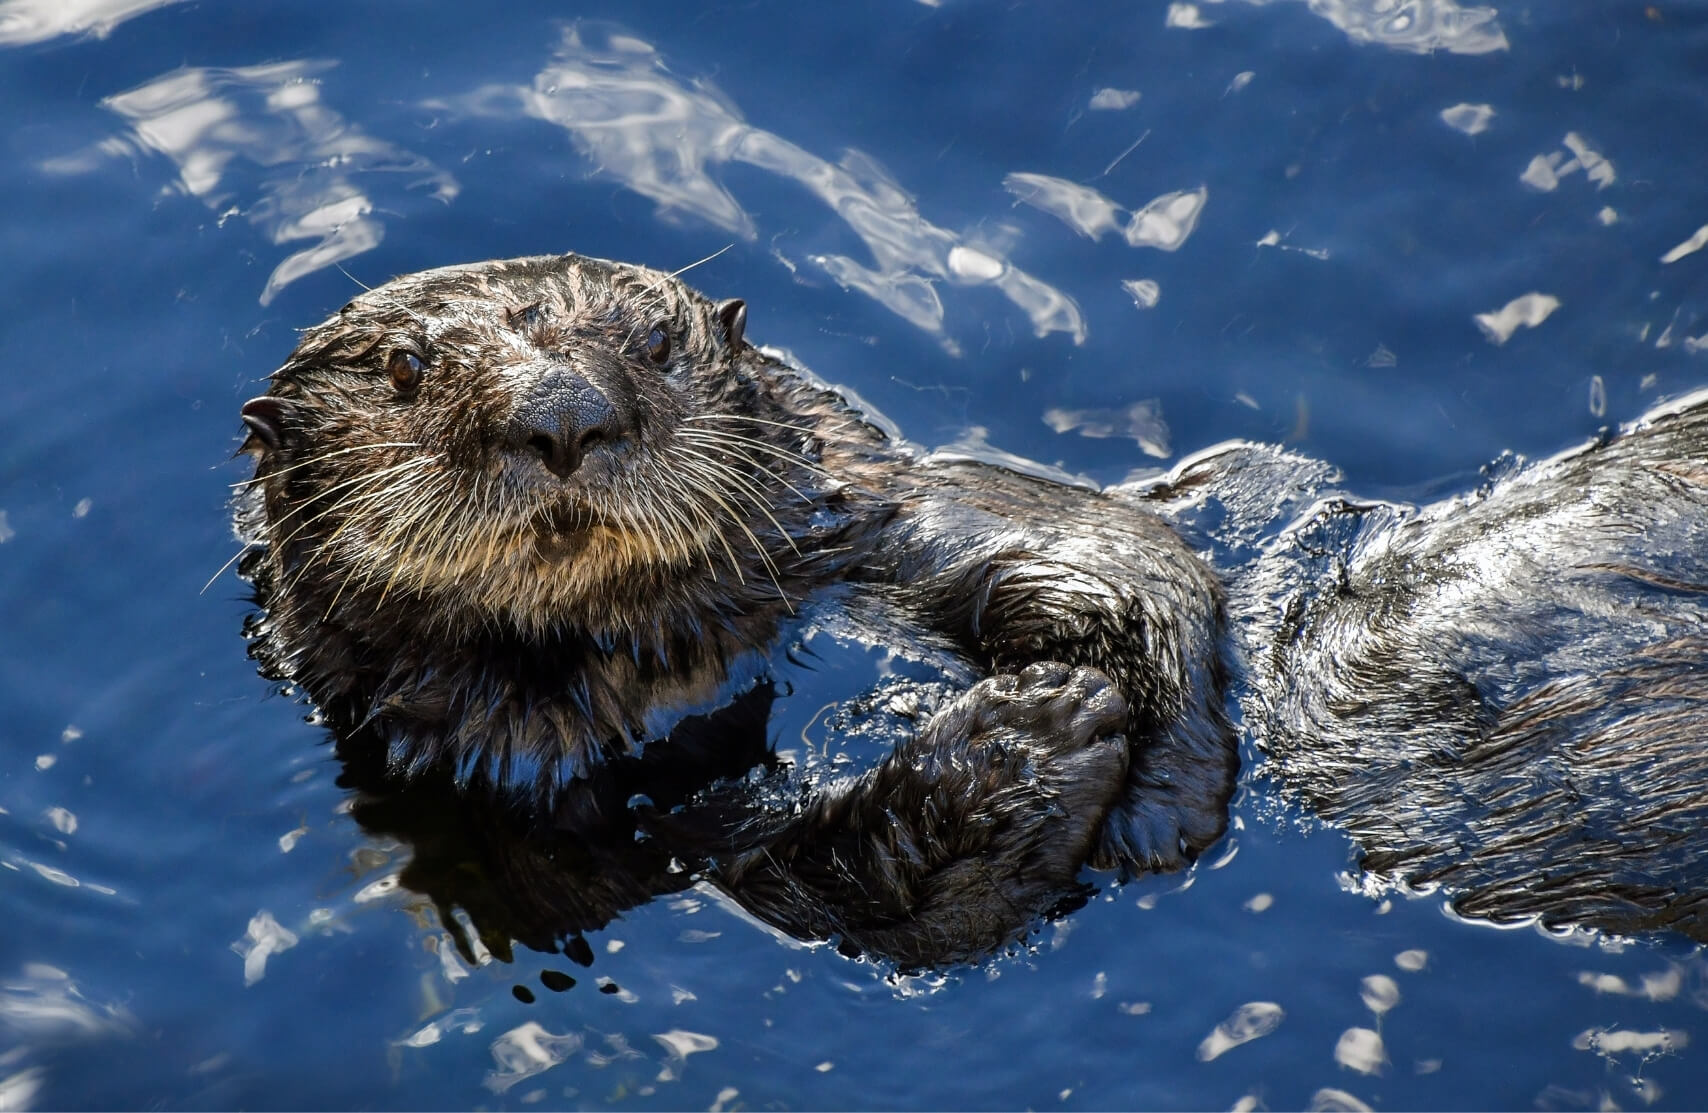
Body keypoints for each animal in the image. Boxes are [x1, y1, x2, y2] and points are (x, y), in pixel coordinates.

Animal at [236, 252, 1708, 961]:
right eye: (405, 368)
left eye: (654, 344)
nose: (563, 414)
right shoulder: (513, 813)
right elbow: (844, 900)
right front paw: (1023, 742)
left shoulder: (877, 510)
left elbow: (1124, 553)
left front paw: (1127, 734)